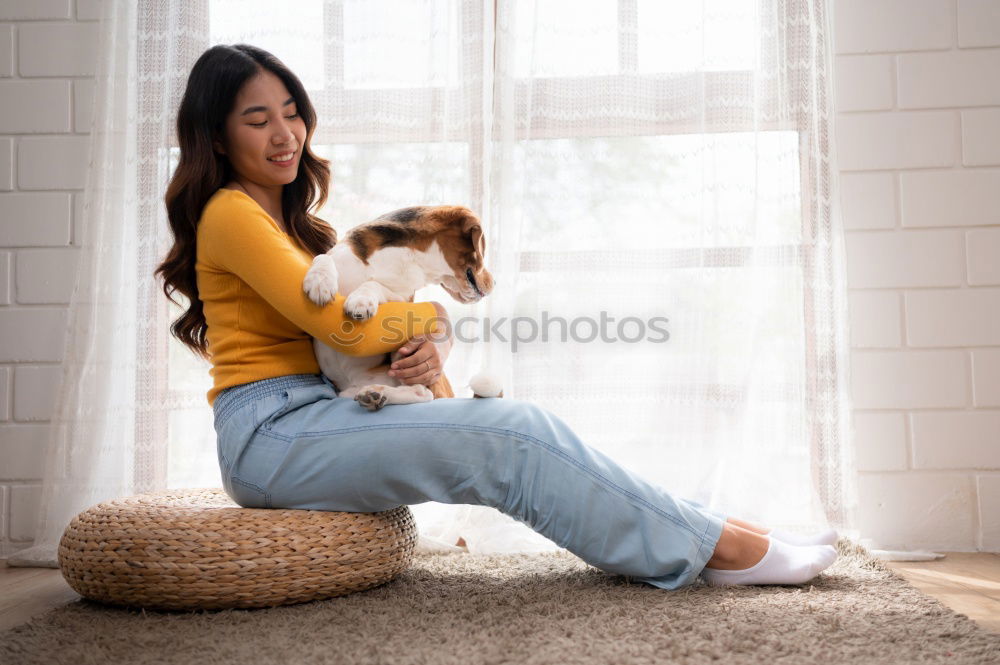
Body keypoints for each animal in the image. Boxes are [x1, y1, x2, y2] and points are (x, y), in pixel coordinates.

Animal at [302, 204, 494, 410]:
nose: (494, 284)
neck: (408, 259)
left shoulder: (403, 301)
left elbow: (375, 284)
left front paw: (361, 300)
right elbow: (322, 256)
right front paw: (320, 281)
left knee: (423, 392)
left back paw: (377, 393)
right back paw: (374, 394)